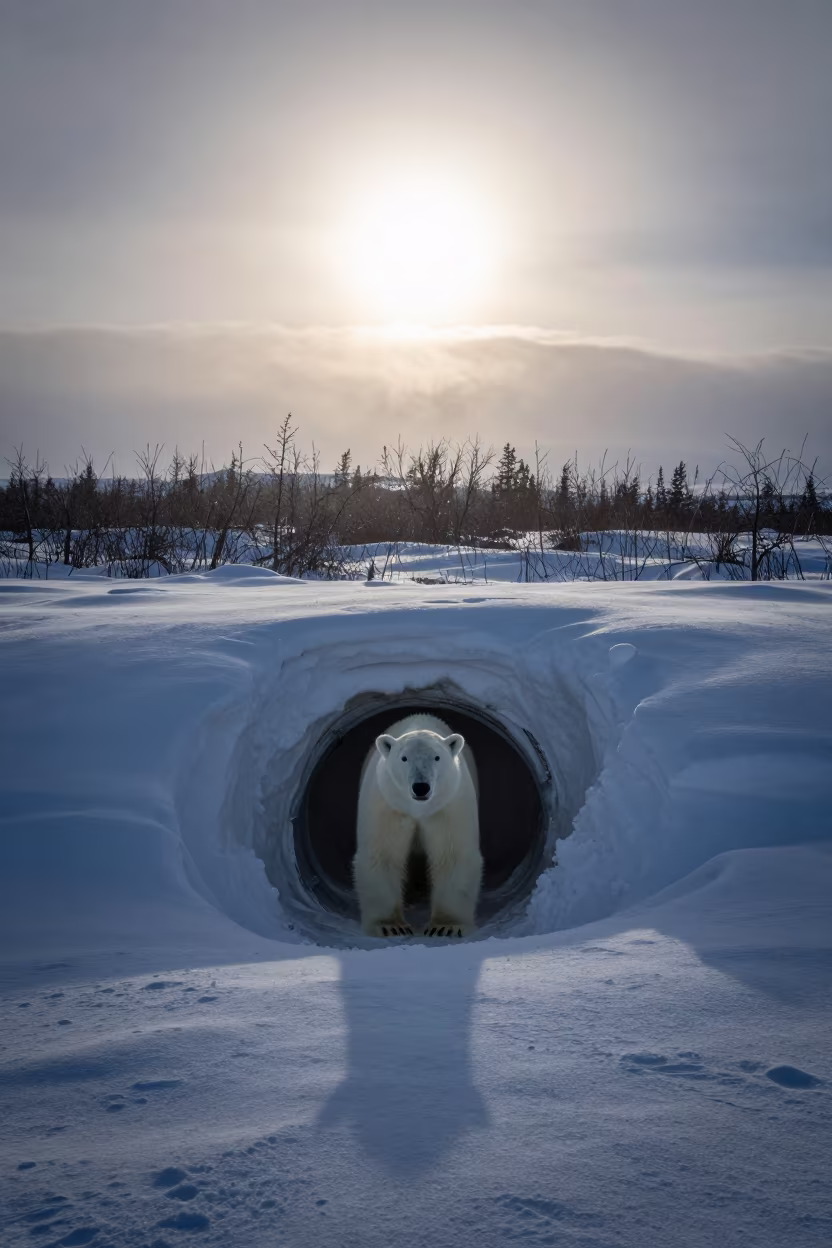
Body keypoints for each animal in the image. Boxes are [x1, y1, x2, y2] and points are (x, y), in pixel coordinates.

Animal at [353, 713, 483, 938]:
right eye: (404, 758)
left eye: (437, 757)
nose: (421, 787)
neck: (418, 809)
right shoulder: (389, 804)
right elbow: (383, 855)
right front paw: (390, 926)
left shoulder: (447, 806)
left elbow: (452, 856)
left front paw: (446, 926)